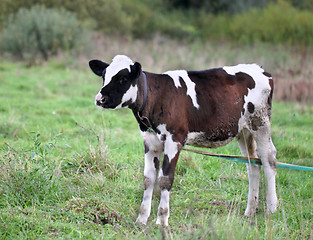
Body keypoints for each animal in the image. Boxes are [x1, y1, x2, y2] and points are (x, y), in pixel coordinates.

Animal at [89, 55, 276, 226]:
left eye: (123, 79)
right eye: (104, 76)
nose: (100, 99)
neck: (157, 97)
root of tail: (262, 71)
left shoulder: (175, 140)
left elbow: (165, 179)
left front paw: (161, 220)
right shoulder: (150, 142)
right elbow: (148, 179)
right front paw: (141, 219)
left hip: (260, 124)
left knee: (269, 161)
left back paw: (271, 209)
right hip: (243, 131)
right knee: (253, 164)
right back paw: (250, 211)